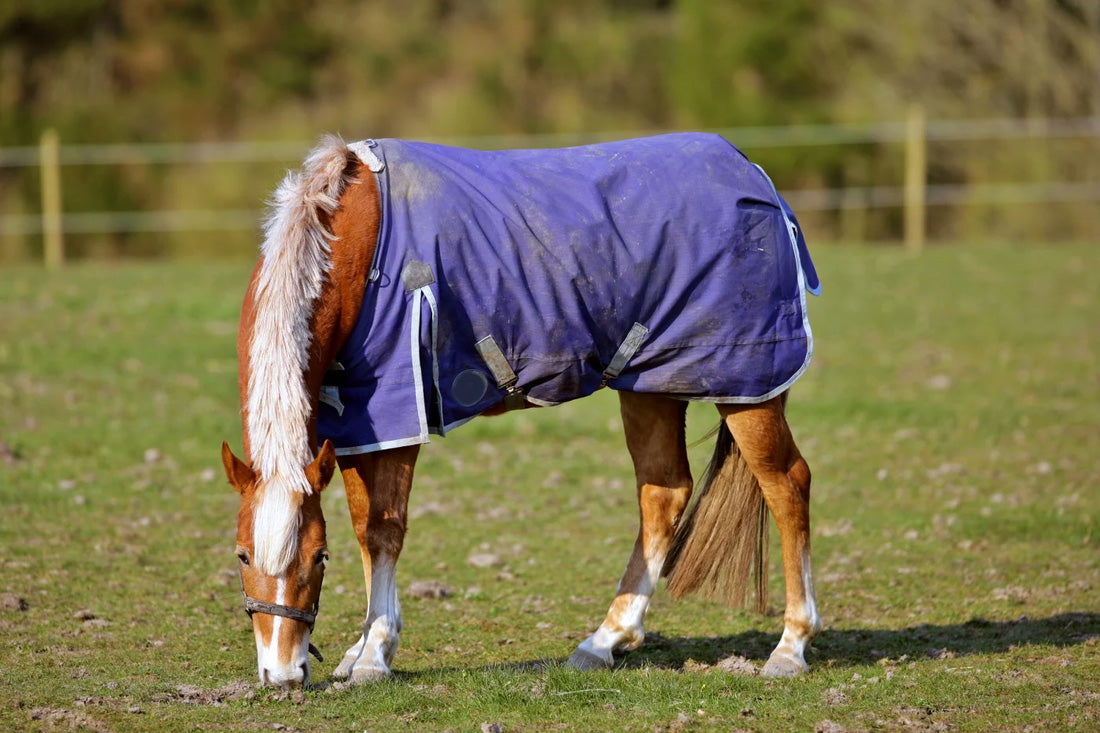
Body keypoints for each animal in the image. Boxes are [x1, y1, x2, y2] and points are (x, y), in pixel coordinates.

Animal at [223, 131, 822, 686]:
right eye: (242, 556)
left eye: (317, 557)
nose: (282, 674)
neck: (359, 242)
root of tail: (753, 174)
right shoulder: (354, 423)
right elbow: (363, 525)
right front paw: (359, 650)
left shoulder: (400, 409)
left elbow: (383, 530)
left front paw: (374, 657)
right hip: (650, 385)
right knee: (664, 495)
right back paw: (605, 641)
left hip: (748, 384)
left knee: (786, 484)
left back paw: (790, 647)